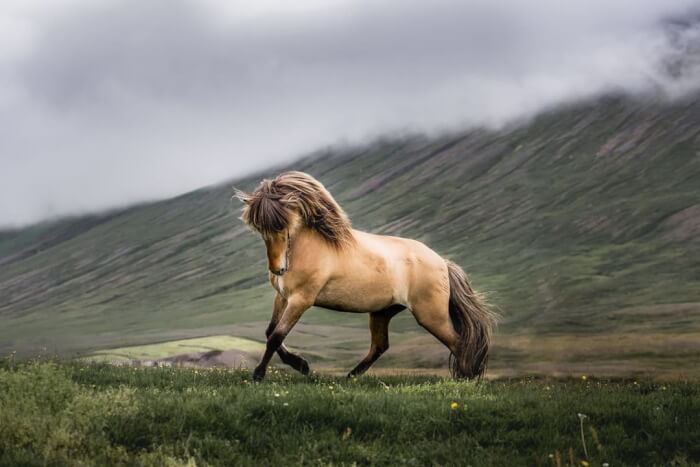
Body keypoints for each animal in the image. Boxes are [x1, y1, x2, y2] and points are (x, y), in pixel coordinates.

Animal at [232, 171, 494, 380]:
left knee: (458, 342)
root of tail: (443, 263)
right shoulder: (283, 297)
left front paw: (259, 374)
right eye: (259, 228)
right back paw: (350, 376)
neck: (309, 248)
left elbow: (276, 336)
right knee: (380, 346)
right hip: (382, 312)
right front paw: (301, 365)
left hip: (430, 316)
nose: (278, 269)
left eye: (282, 225)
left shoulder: (301, 300)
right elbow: (270, 333)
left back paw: (464, 378)